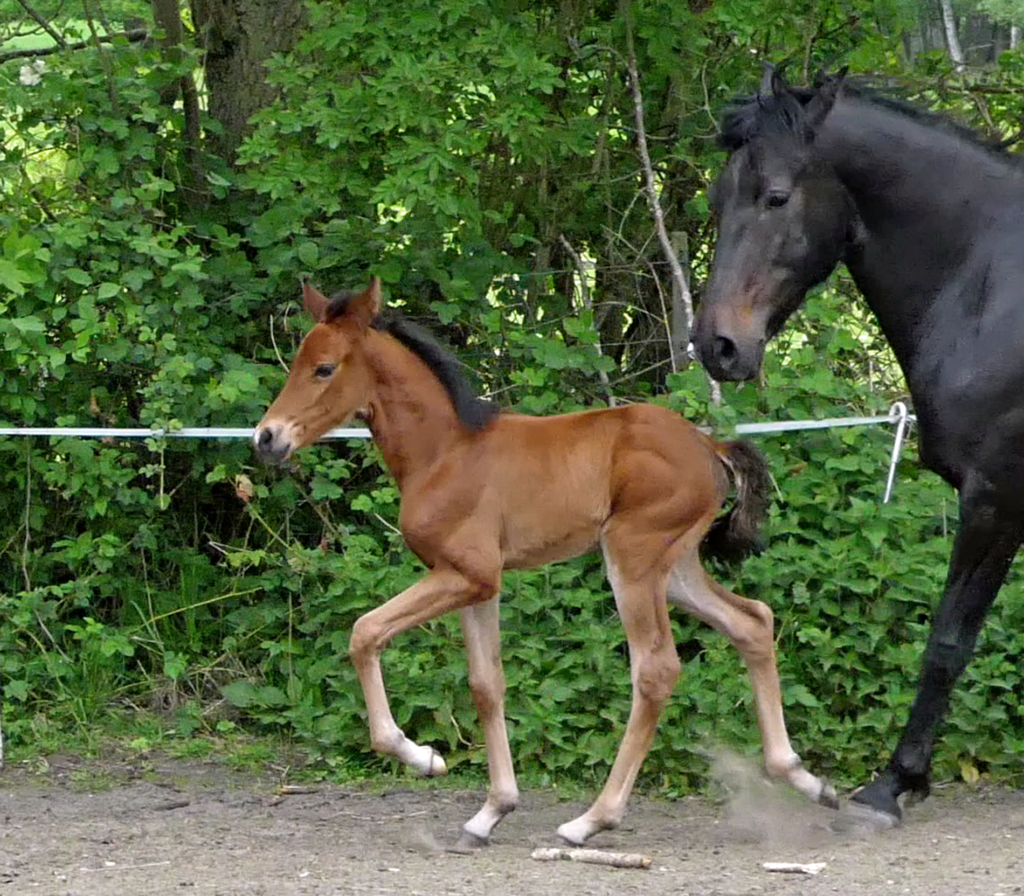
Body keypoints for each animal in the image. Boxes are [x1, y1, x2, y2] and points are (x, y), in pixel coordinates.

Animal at [253, 278, 831, 847]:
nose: (267, 437)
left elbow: (365, 632)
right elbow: (486, 685)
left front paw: (423, 758)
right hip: (677, 567)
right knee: (752, 620)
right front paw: (491, 813)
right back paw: (806, 780)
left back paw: (592, 820)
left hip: (633, 558)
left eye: (324, 368)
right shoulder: (475, 585)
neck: (443, 453)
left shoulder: (466, 574)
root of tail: (710, 447)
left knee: (656, 668)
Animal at [692, 66, 1024, 831]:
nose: (716, 344)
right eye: (719, 199)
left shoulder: (996, 498)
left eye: (776, 195)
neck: (994, 286)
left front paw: (893, 784)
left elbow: (947, 642)